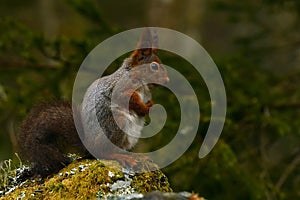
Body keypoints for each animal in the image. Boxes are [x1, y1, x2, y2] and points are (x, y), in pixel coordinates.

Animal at [17, 28, 169, 178]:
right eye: (154, 66)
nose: (167, 81)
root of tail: (87, 143)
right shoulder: (121, 89)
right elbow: (129, 100)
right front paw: (147, 109)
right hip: (115, 123)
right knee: (103, 153)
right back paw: (122, 157)